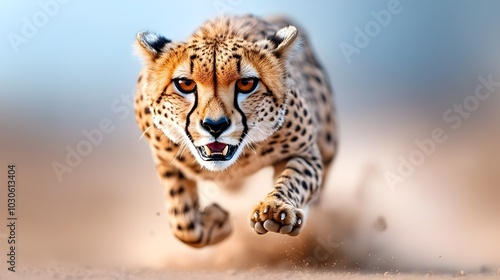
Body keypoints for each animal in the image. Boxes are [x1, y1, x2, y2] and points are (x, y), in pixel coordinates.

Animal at [134, 15, 336, 247]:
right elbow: (183, 223)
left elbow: (294, 180)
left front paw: (276, 210)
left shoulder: (305, 152)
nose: (215, 125)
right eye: (184, 84)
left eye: (246, 83)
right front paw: (217, 222)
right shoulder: (166, 159)